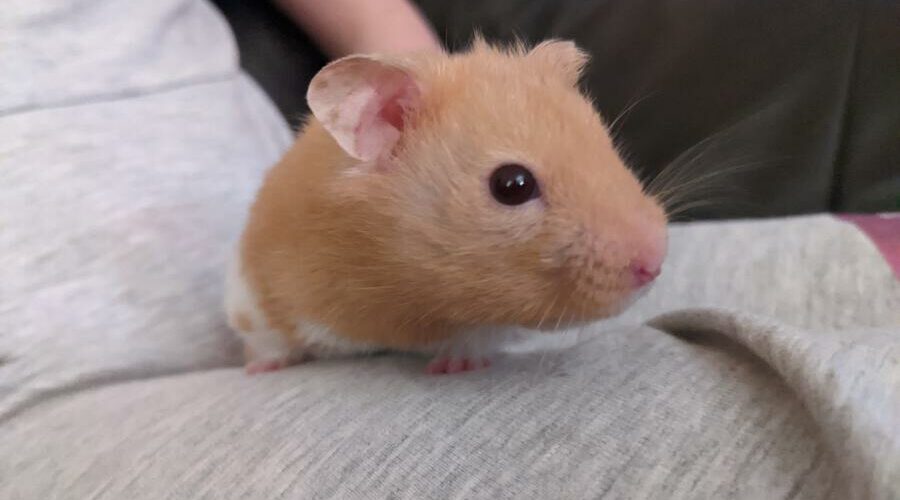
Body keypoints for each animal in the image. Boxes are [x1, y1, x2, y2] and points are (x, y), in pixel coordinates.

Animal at [224, 38, 667, 375]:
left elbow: (476, 336)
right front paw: (259, 369)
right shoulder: (253, 286)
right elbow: (265, 334)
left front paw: (455, 365)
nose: (656, 261)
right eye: (512, 185)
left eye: (607, 147)